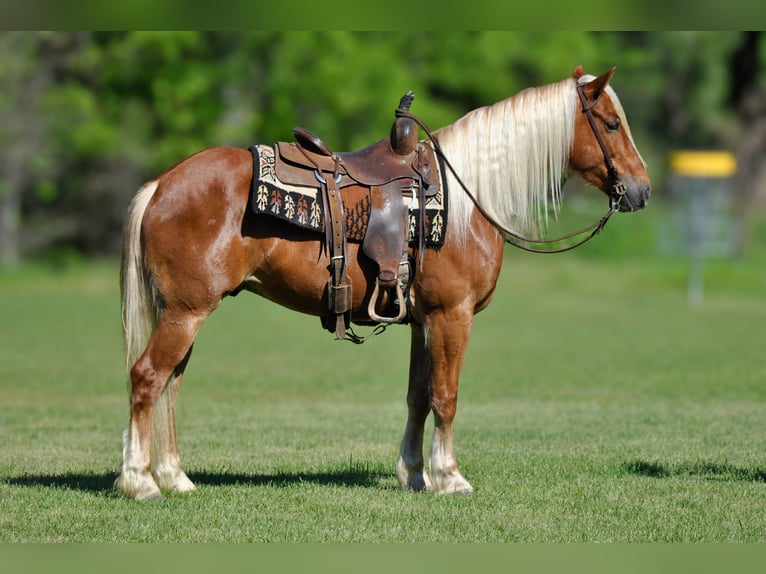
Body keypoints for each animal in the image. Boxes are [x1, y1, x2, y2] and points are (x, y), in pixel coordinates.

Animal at [115, 65, 650, 500]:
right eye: (610, 124)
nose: (641, 190)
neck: (465, 197)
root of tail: (161, 184)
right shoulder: (451, 315)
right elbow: (446, 396)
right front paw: (450, 477)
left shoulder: (422, 320)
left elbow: (419, 395)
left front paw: (414, 474)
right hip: (186, 312)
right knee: (148, 378)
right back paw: (140, 482)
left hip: (184, 313)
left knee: (170, 385)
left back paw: (175, 478)